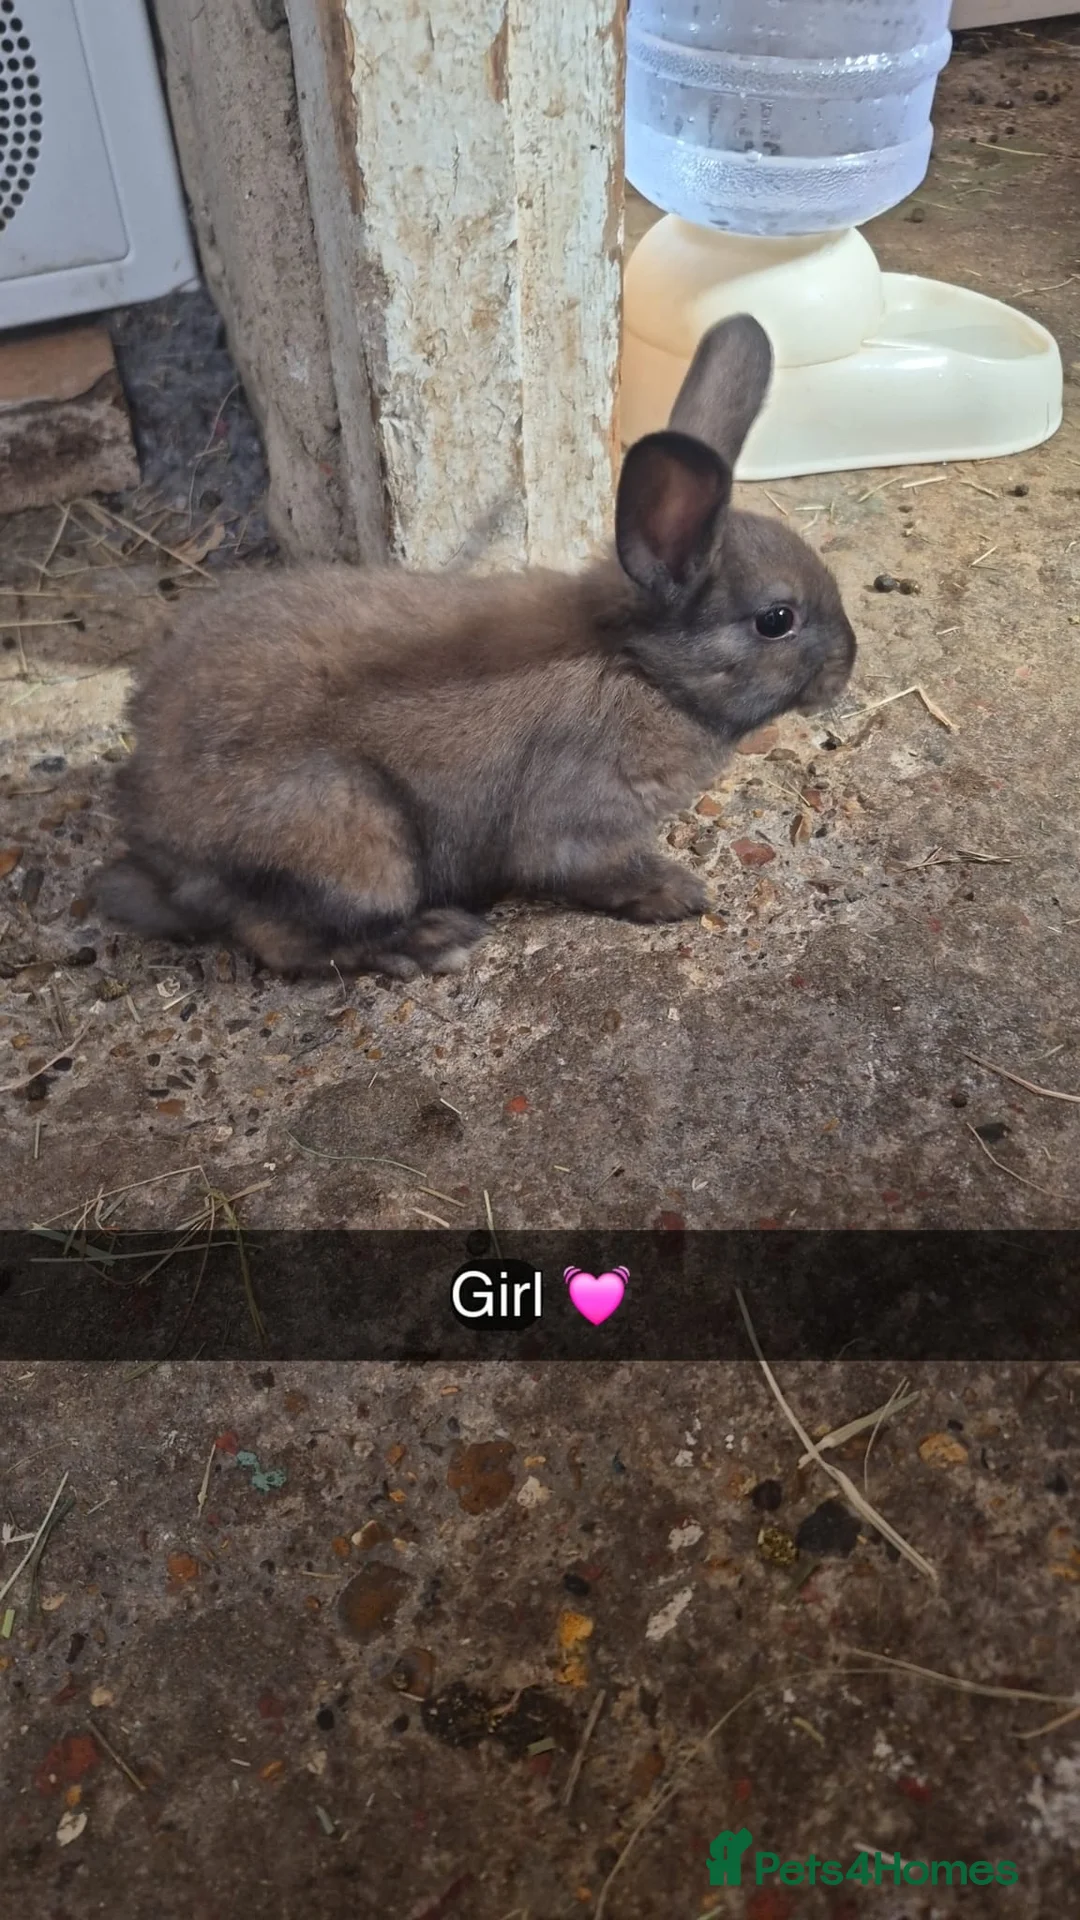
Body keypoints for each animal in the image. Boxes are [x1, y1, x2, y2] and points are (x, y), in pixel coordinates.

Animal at [95, 314, 856, 980]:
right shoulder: (577, 825)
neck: (644, 670)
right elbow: (597, 871)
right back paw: (433, 942)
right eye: (776, 620)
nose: (847, 664)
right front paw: (679, 894)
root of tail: (159, 845)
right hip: (357, 840)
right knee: (285, 940)